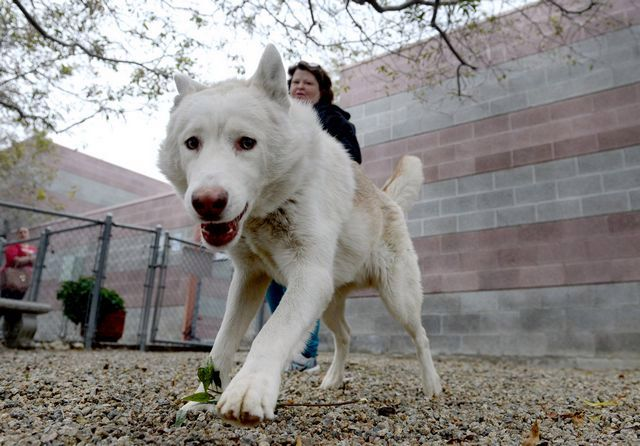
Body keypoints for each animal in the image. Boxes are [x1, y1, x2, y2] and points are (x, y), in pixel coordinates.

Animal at [159, 45, 440, 426]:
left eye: (247, 142)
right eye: (192, 143)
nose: (207, 203)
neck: (268, 211)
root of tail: (386, 198)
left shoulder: (308, 278)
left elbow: (271, 333)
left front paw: (250, 389)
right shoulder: (249, 280)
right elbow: (220, 345)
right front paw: (203, 397)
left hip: (399, 298)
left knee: (421, 336)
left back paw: (432, 386)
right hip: (330, 301)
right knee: (345, 336)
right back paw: (333, 380)